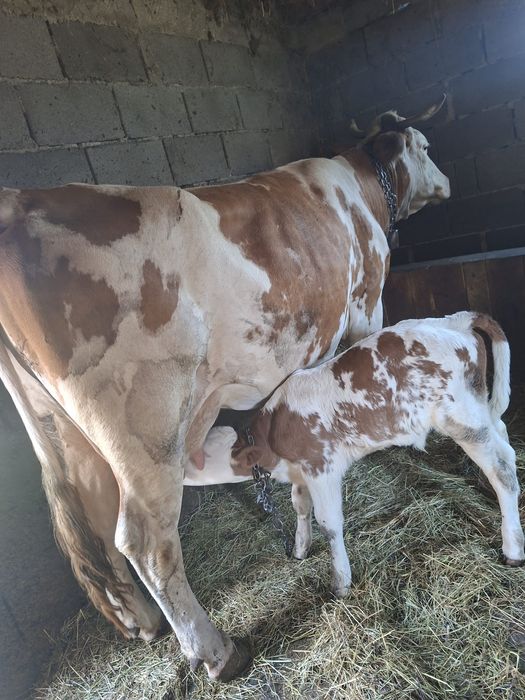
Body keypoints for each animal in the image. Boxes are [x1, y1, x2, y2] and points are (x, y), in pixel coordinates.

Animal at [0, 100, 450, 680]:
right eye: (426, 147)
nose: (447, 183)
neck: (360, 191)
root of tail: (16, 201)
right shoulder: (366, 306)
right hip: (146, 425)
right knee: (146, 541)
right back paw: (216, 652)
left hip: (63, 429)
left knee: (99, 523)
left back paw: (143, 624)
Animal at [207, 312, 525, 598]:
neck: (273, 428)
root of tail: (455, 320)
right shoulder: (301, 471)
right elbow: (300, 505)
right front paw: (300, 548)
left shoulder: (321, 466)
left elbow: (329, 523)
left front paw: (340, 583)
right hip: (479, 409)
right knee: (505, 444)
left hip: (462, 420)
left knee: (502, 470)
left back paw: (512, 548)